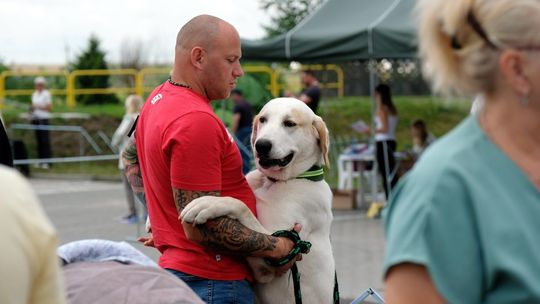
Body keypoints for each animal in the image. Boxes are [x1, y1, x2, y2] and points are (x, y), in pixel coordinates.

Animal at [182, 98, 338, 302]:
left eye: (289, 123)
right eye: (263, 119)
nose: (261, 145)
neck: (273, 182)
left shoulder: (273, 258)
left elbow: (240, 205)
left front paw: (207, 204)